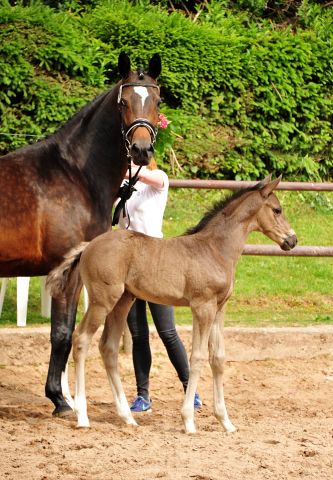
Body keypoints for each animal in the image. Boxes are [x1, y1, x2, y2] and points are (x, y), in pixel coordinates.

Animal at [0, 49, 162, 416]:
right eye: (124, 102)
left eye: (157, 101)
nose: (141, 150)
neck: (73, 173)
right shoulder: (67, 269)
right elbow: (61, 333)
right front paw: (61, 400)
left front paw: (63, 395)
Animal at [46, 173, 296, 436]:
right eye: (277, 210)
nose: (293, 240)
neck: (214, 249)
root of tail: (88, 245)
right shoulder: (203, 307)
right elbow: (198, 357)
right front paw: (188, 421)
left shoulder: (219, 308)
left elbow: (218, 358)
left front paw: (226, 421)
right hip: (101, 300)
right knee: (81, 338)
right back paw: (82, 415)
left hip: (122, 302)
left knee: (109, 348)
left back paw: (127, 417)